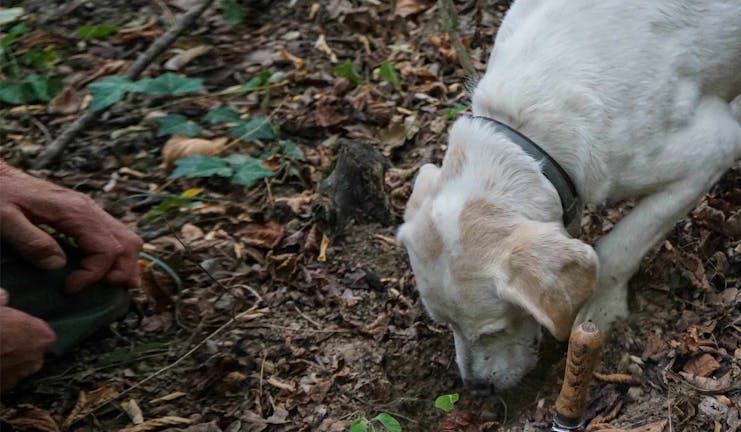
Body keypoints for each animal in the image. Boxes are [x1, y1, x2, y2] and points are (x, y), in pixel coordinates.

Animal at [398, 0, 740, 390]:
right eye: (446, 324)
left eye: (493, 329)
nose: (476, 387)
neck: (530, 130)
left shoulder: (715, 147)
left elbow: (616, 250)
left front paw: (601, 309)